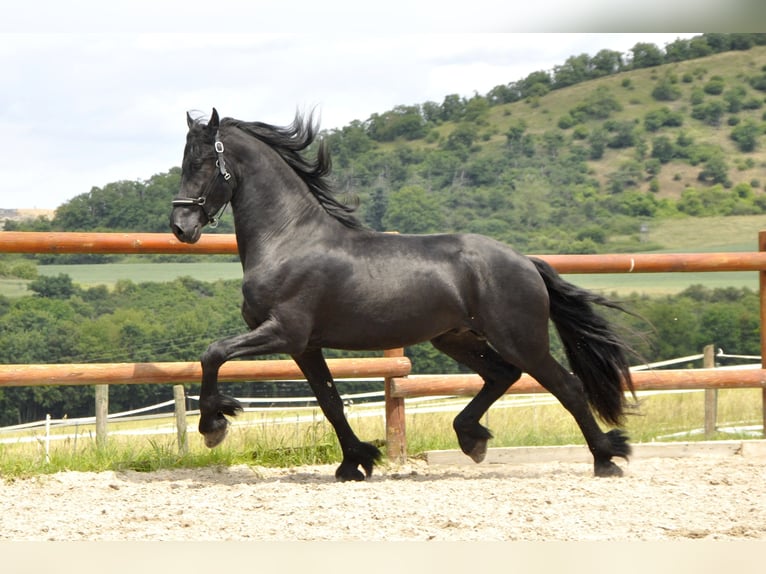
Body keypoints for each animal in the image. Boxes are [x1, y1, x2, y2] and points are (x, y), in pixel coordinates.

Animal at [169, 108, 636, 481]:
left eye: (205, 161)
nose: (180, 226)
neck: (288, 240)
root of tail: (525, 261)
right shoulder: (305, 346)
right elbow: (330, 401)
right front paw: (355, 463)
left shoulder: (284, 332)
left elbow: (213, 353)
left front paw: (214, 426)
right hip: (455, 338)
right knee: (502, 376)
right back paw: (472, 439)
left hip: (521, 339)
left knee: (566, 386)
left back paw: (606, 458)